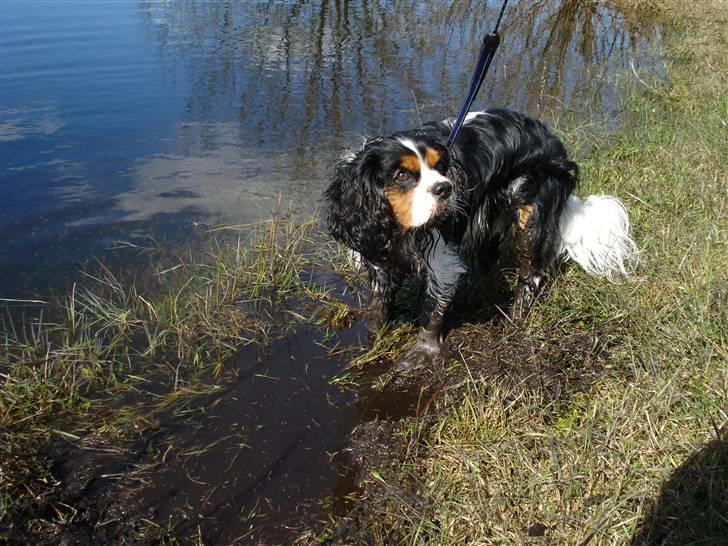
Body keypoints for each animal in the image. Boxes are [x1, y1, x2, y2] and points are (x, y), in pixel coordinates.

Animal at [324, 107, 636, 370]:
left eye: (441, 168)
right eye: (401, 174)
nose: (445, 188)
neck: (399, 229)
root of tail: (551, 140)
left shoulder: (442, 260)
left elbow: (432, 310)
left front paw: (424, 352)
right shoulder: (378, 255)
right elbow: (378, 306)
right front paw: (373, 340)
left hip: (530, 213)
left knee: (531, 275)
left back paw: (515, 321)